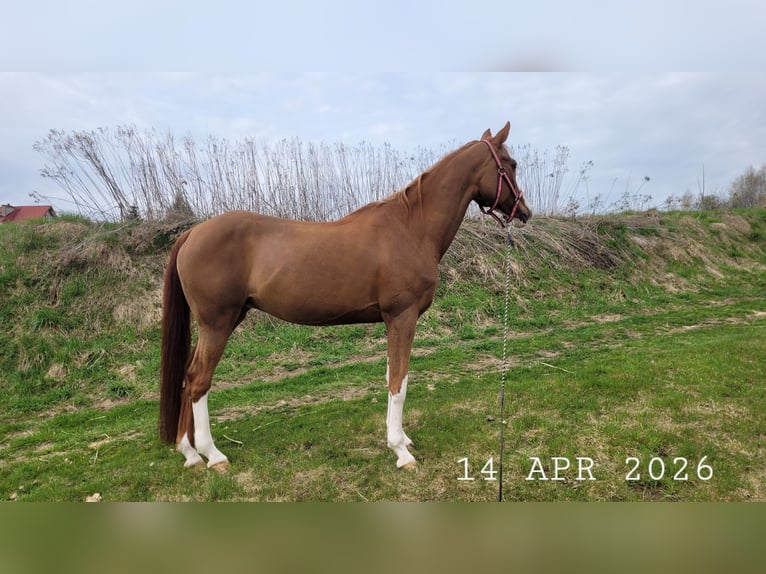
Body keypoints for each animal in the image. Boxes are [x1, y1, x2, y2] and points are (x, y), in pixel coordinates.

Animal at [159, 121, 532, 472]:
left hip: (221, 322)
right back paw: (212, 455)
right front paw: (400, 451)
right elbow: (399, 382)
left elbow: (392, 378)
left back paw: (190, 454)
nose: (525, 212)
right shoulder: (403, 317)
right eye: (510, 164)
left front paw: (402, 440)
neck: (411, 228)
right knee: (198, 380)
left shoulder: (393, 322)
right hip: (217, 324)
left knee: (187, 376)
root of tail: (192, 233)